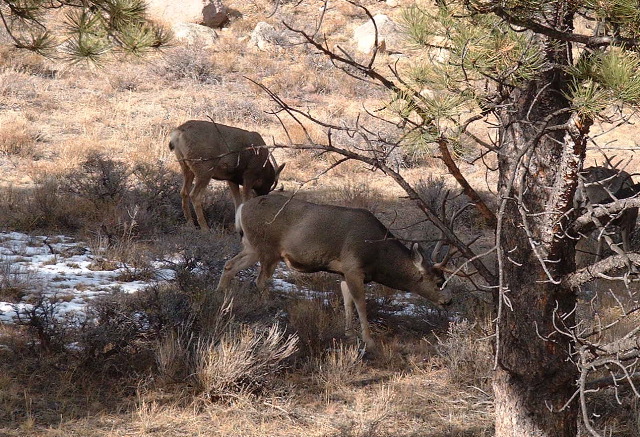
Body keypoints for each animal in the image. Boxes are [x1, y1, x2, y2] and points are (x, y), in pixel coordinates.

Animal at [216, 194, 453, 350]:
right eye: (438, 281)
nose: (448, 301)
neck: (377, 255)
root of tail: (241, 208)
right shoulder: (353, 267)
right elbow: (360, 303)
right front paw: (369, 340)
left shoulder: (343, 272)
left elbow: (347, 300)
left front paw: (348, 333)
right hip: (268, 249)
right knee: (260, 280)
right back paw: (268, 309)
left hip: (251, 246)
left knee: (229, 265)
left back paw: (222, 299)